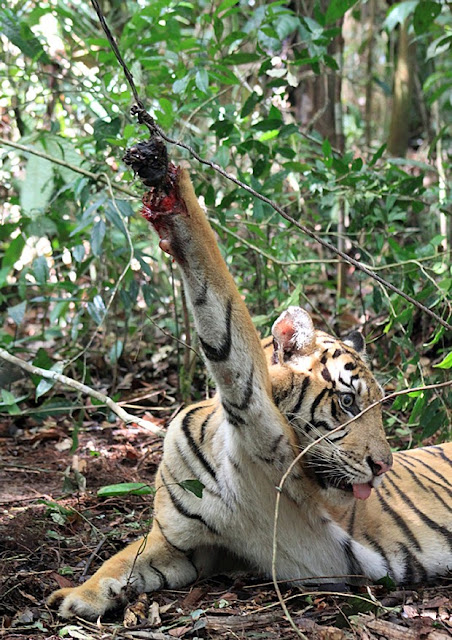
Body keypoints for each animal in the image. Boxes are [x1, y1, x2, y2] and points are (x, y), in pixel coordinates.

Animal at [47, 166, 450, 620]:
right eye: (347, 402)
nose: (383, 467)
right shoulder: (179, 543)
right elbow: (120, 559)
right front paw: (79, 594)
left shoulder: (254, 411)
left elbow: (220, 308)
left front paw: (175, 199)